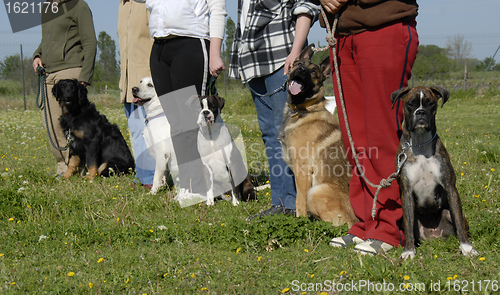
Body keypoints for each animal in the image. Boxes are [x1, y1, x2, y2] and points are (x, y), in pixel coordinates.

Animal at [278, 45, 356, 227]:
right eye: (299, 64)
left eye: (313, 72)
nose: (301, 70)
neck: (301, 110)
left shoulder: (302, 172)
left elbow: (299, 203)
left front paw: (300, 222)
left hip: (316, 191)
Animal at [390, 85, 476, 260]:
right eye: (410, 104)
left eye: (430, 103)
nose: (421, 112)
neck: (421, 144)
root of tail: (434, 235)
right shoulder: (406, 192)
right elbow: (408, 227)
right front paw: (409, 251)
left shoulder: (450, 188)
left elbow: (458, 220)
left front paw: (466, 248)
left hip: (448, 212)